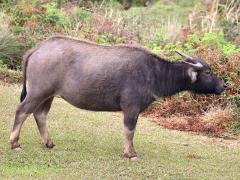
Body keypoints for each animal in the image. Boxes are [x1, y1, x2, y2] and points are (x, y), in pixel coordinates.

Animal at [9, 35, 227, 160]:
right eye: (208, 72)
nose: (223, 86)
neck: (154, 73)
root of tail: (37, 49)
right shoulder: (131, 108)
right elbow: (129, 131)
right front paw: (130, 153)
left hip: (48, 95)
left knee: (40, 115)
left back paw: (48, 143)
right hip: (37, 92)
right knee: (22, 111)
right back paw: (15, 143)